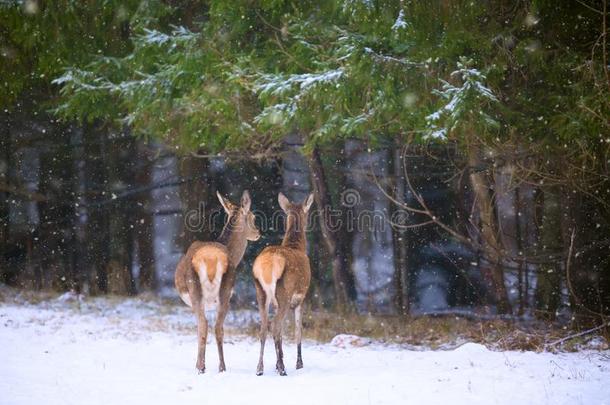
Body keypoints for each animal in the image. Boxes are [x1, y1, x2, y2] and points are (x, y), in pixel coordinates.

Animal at [173, 189, 258, 372]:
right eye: (253, 217)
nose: (258, 233)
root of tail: (211, 259)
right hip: (221, 292)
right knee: (215, 326)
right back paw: (217, 367)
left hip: (200, 291)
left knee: (206, 325)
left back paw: (204, 367)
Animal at [251, 191, 312, 374]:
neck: (296, 246)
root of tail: (269, 264)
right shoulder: (301, 297)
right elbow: (298, 330)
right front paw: (298, 363)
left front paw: (279, 361)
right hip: (284, 291)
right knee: (275, 325)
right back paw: (282, 369)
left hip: (261, 292)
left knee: (264, 327)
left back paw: (260, 368)